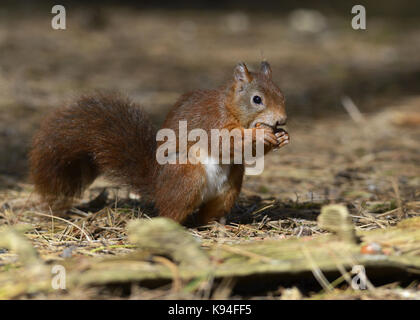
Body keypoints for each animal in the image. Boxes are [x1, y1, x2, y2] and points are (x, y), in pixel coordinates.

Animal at [29, 60, 288, 225]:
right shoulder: (212, 123)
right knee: (170, 213)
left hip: (229, 187)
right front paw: (261, 135)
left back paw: (215, 224)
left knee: (205, 215)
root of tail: (157, 185)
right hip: (187, 176)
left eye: (282, 95)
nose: (282, 119)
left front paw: (282, 136)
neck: (231, 108)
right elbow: (226, 143)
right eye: (257, 99)